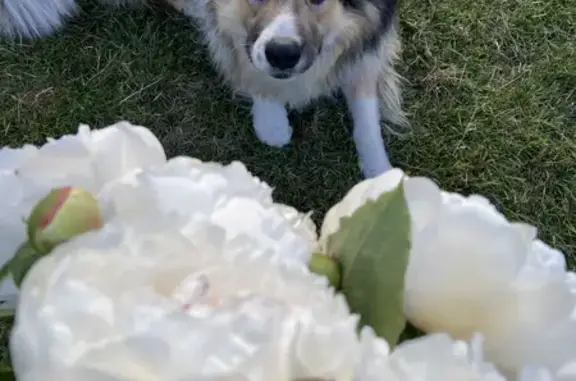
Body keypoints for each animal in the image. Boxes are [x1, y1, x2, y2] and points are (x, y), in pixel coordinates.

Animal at [0, 0, 408, 177]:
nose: (282, 55)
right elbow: (235, 46)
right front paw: (271, 120)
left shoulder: (368, 44)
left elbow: (366, 115)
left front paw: (380, 171)